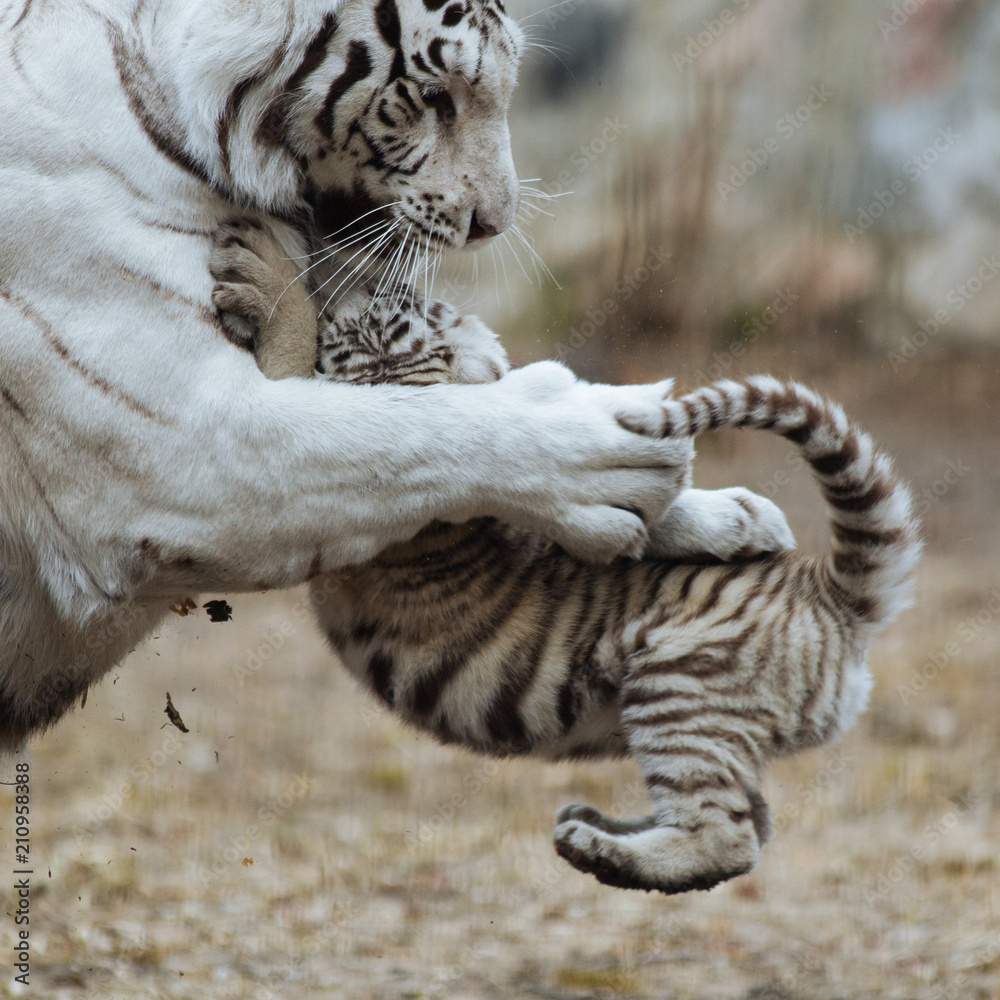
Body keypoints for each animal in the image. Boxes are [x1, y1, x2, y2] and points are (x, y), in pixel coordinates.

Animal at [0, 0, 788, 752]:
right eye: (436, 96)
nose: (494, 223)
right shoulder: (180, 449)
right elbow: (413, 438)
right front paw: (615, 453)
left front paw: (729, 515)